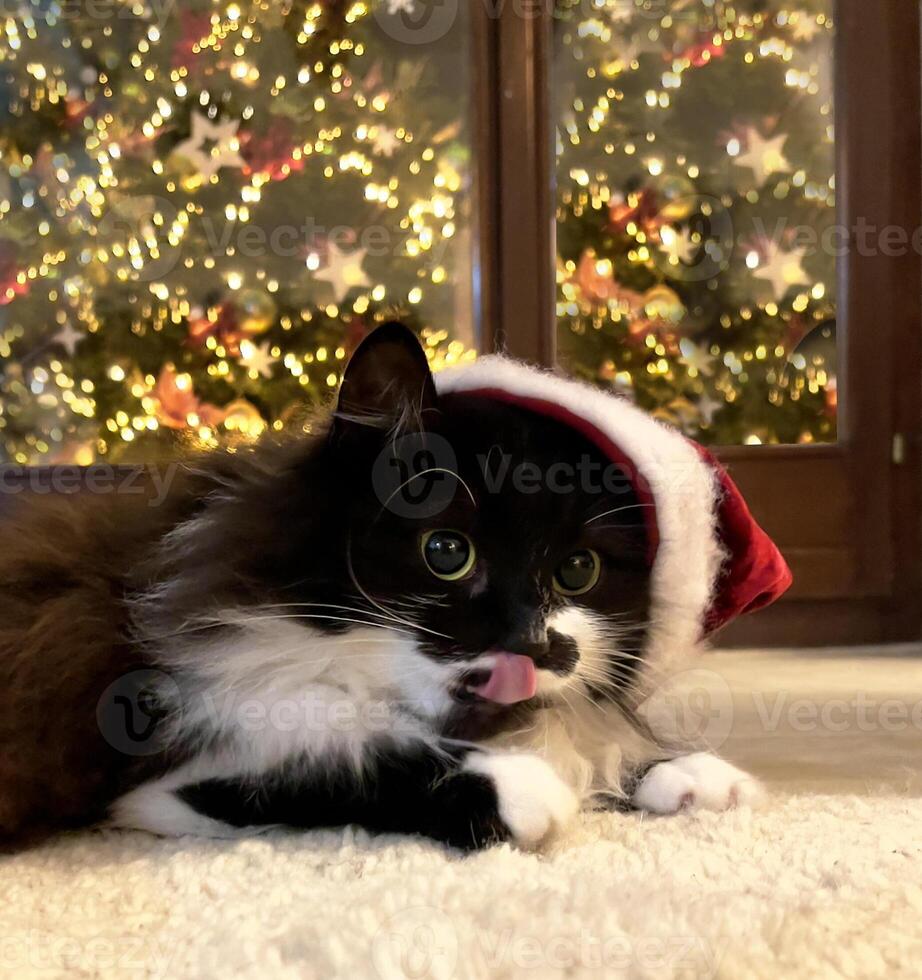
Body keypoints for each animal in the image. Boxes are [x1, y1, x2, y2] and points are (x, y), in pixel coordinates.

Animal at [1, 322, 792, 848]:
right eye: (446, 552)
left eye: (578, 571)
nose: (531, 644)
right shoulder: (163, 779)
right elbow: (344, 768)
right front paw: (527, 789)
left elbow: (587, 735)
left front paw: (688, 776)